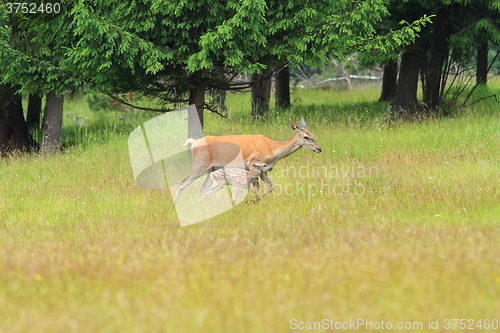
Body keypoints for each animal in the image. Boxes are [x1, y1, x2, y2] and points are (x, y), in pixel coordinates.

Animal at [174, 118, 322, 204]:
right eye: (305, 137)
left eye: (313, 135)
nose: (319, 148)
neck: (272, 150)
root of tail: (193, 143)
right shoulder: (253, 163)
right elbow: (257, 187)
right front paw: (257, 200)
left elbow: (270, 186)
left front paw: (259, 199)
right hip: (199, 164)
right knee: (182, 183)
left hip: (211, 169)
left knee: (202, 188)